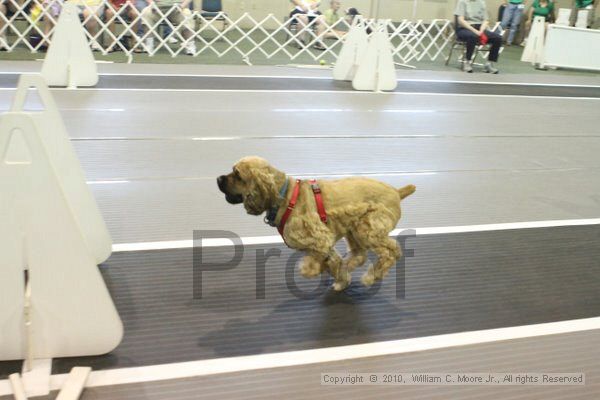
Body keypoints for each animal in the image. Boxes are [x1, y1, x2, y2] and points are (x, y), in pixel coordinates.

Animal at [217, 156, 418, 290]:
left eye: (237, 175)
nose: (218, 179)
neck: (284, 195)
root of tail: (397, 192)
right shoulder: (323, 243)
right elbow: (332, 261)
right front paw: (340, 277)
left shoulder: (320, 239)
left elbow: (311, 268)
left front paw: (316, 269)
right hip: (354, 229)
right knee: (362, 254)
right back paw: (349, 267)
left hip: (368, 229)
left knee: (391, 251)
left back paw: (371, 276)